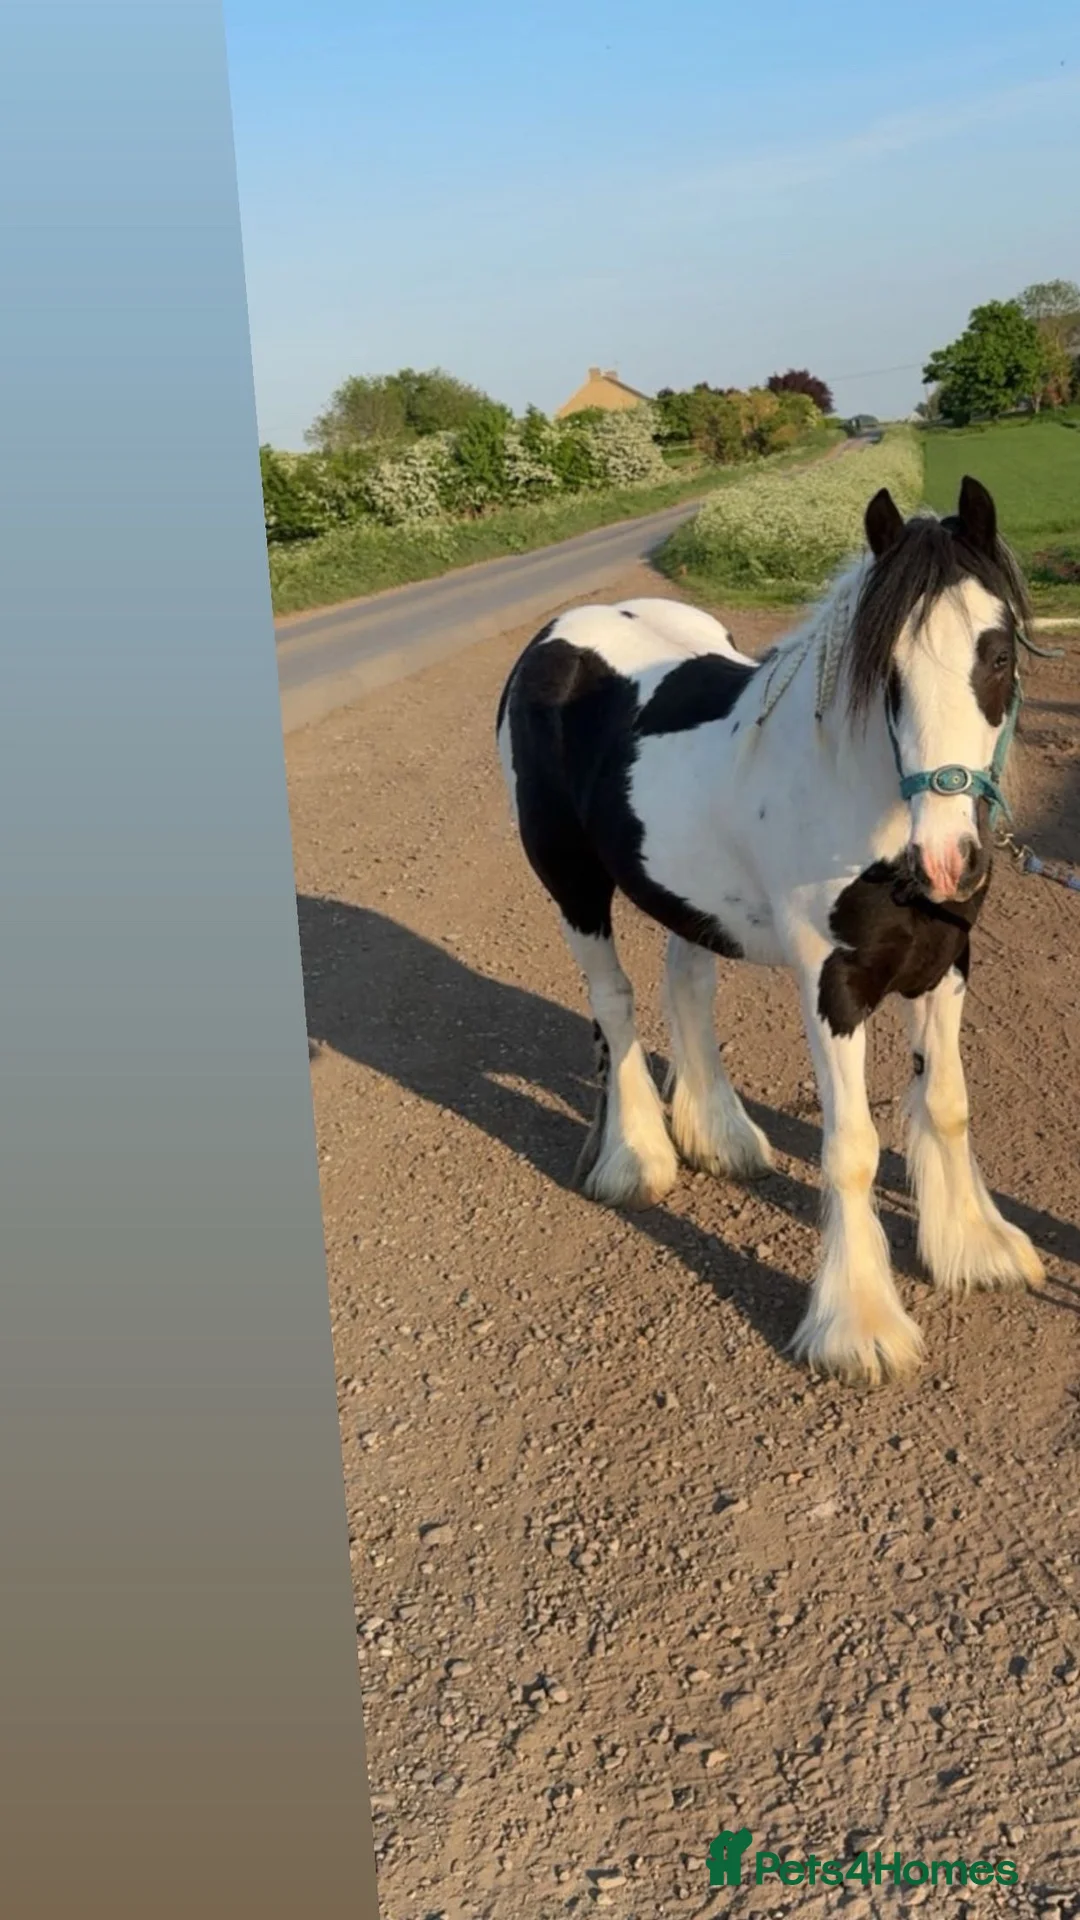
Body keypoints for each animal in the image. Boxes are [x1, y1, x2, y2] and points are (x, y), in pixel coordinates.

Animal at [495, 477, 1045, 1387]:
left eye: (997, 655)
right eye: (885, 671)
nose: (945, 863)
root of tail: (557, 636)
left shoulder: (945, 964)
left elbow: (948, 1105)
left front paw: (973, 1248)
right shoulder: (835, 988)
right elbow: (851, 1147)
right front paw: (859, 1327)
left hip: (684, 892)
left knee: (688, 986)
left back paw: (721, 1138)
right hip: (570, 882)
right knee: (614, 1000)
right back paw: (638, 1159)